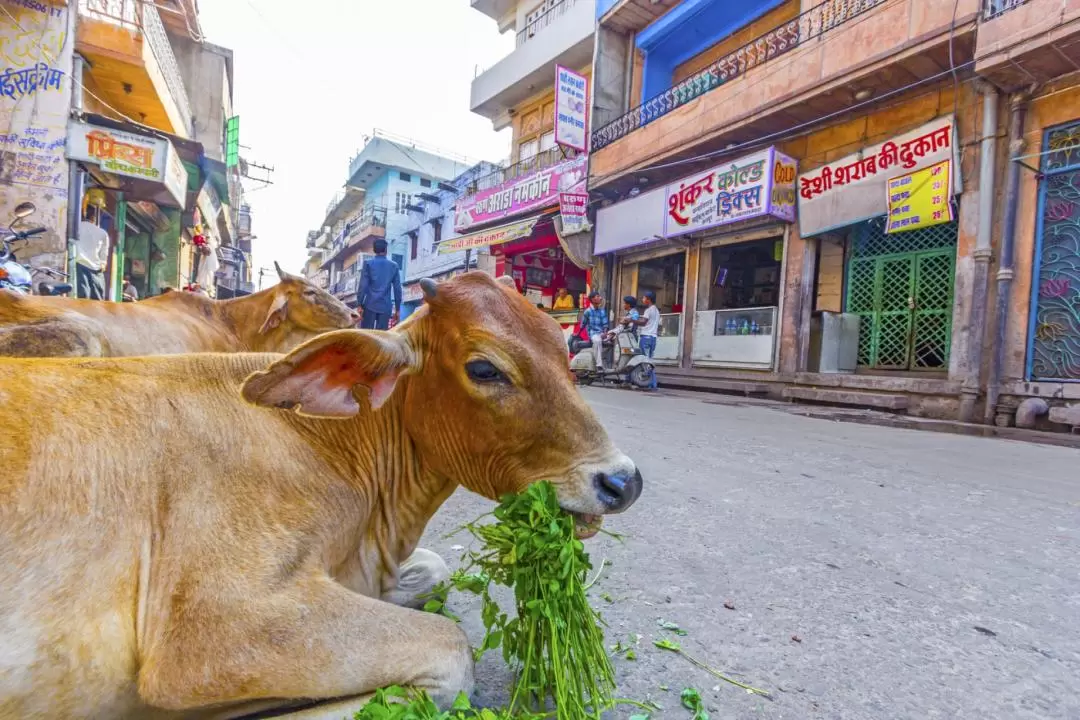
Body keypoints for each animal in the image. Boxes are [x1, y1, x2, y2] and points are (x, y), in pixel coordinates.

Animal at [0, 272, 639, 720]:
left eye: (564, 350)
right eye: (485, 369)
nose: (622, 482)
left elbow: (434, 572)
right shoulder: (208, 634)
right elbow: (451, 656)